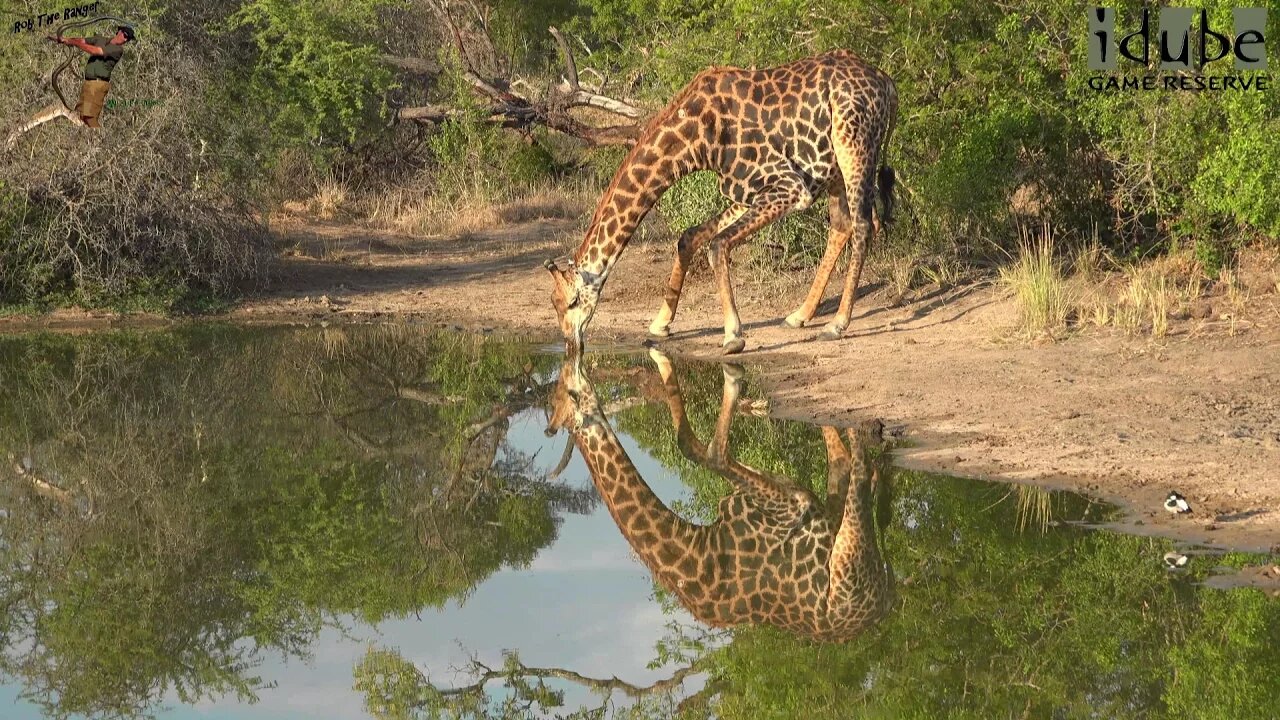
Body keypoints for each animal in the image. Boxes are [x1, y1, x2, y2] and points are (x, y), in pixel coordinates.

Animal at [545, 49, 896, 353]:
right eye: (555, 304)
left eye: (572, 302)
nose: (571, 343)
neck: (696, 139)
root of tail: (887, 83)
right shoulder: (746, 191)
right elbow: (689, 237)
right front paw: (660, 324)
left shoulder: (788, 187)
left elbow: (717, 245)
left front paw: (733, 335)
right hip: (833, 168)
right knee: (843, 224)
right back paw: (799, 315)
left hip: (854, 145)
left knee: (863, 224)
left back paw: (837, 323)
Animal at [545, 348, 896, 638]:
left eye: (568, 388)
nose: (578, 362)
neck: (702, 550)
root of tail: (882, 603)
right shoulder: (797, 499)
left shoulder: (793, 503)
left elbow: (700, 448)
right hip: (844, 538)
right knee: (849, 464)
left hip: (847, 554)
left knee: (856, 467)